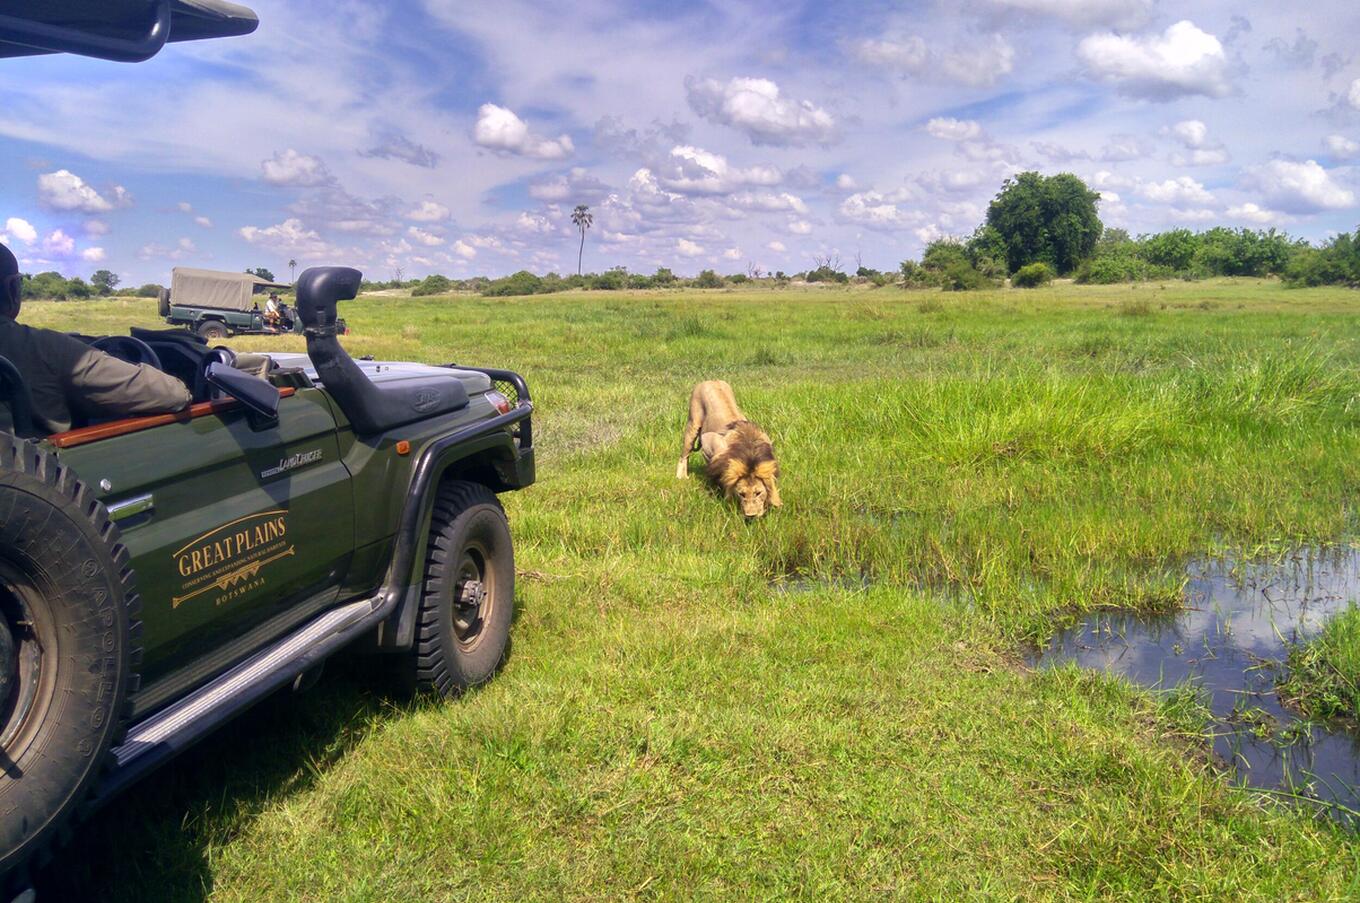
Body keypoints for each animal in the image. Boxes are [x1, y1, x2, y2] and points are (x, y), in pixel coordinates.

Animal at [674, 380, 783, 519]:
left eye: (758, 493)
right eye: (741, 494)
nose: (750, 515)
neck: (749, 450)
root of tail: (710, 380)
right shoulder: (709, 442)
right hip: (692, 425)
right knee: (684, 455)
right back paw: (681, 477)